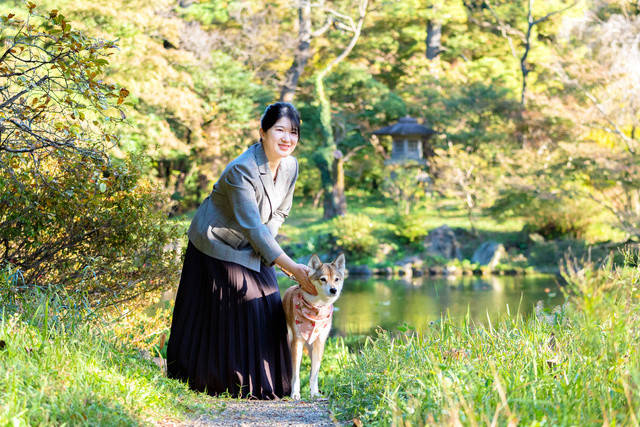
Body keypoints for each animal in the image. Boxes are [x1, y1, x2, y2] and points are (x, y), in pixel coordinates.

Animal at [284, 254, 344, 402]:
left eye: (336, 279)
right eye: (323, 279)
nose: (333, 290)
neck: (317, 307)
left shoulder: (319, 343)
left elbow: (314, 374)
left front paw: (315, 393)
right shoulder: (297, 343)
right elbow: (296, 374)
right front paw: (295, 393)